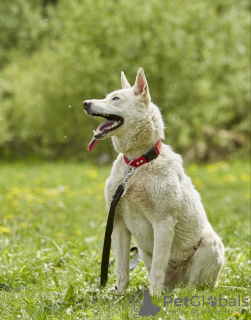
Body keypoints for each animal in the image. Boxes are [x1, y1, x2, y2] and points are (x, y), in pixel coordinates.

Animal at [83, 67, 225, 296]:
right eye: (106, 96)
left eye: (115, 98)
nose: (85, 103)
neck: (136, 164)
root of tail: (176, 284)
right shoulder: (118, 223)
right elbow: (122, 269)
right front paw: (118, 296)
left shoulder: (163, 222)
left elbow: (159, 266)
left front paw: (155, 298)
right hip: (142, 251)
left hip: (210, 245)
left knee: (193, 286)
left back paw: (175, 294)